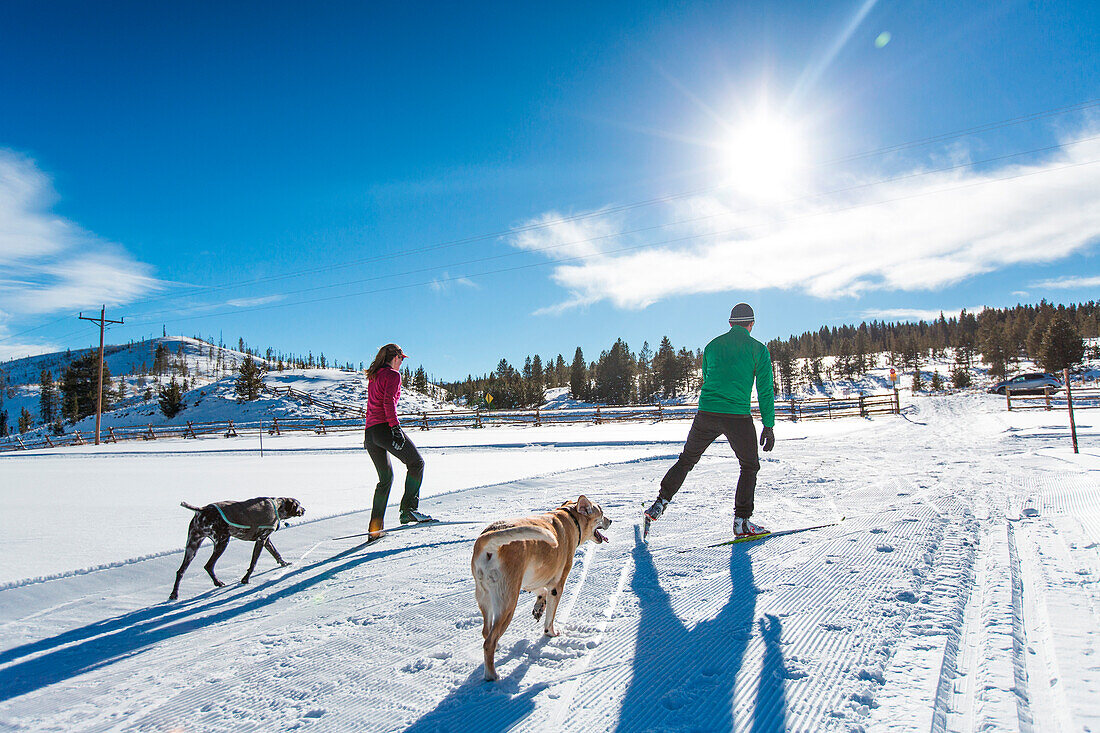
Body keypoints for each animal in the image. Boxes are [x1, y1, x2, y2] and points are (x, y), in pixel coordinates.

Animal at [169, 490, 305, 598]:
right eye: (299, 504)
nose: (304, 510)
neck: (278, 506)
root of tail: (202, 510)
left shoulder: (266, 540)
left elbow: (276, 553)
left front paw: (284, 563)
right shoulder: (261, 540)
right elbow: (253, 563)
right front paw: (246, 579)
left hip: (192, 546)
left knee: (180, 571)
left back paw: (174, 594)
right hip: (222, 542)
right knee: (208, 565)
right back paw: (218, 583)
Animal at [470, 493, 616, 677]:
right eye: (601, 512)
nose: (611, 520)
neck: (571, 518)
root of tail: (488, 540)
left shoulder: (531, 579)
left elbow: (540, 591)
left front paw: (539, 607)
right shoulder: (557, 585)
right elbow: (550, 618)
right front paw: (551, 632)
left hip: (485, 597)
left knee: (486, 632)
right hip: (507, 603)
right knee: (489, 641)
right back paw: (492, 676)